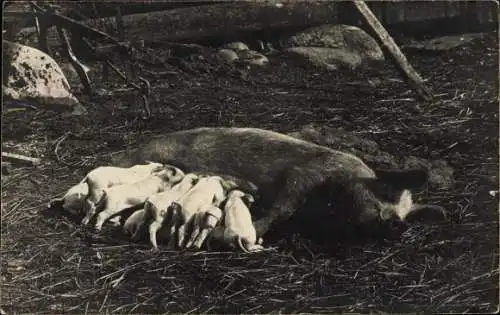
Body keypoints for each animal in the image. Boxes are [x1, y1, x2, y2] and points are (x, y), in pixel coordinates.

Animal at [112, 127, 446, 241]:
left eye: (407, 212)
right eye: (385, 191)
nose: (398, 224)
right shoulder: (302, 174)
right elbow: (283, 208)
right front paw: (255, 232)